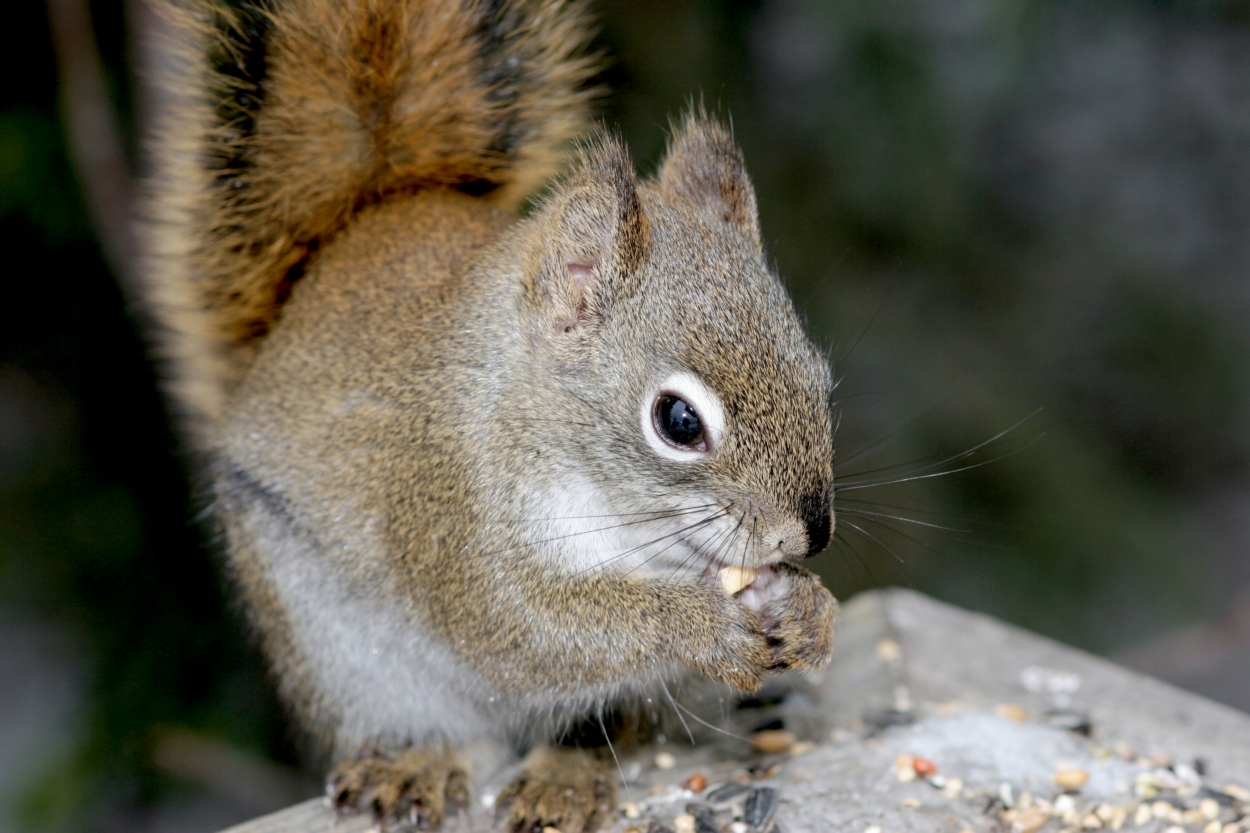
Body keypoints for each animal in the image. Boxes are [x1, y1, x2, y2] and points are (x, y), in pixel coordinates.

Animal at [139, 1, 840, 830]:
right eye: (678, 421)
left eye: (818, 374)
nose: (808, 533)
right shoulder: (448, 508)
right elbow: (526, 626)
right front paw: (701, 625)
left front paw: (809, 607)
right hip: (342, 657)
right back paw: (417, 763)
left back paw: (567, 776)